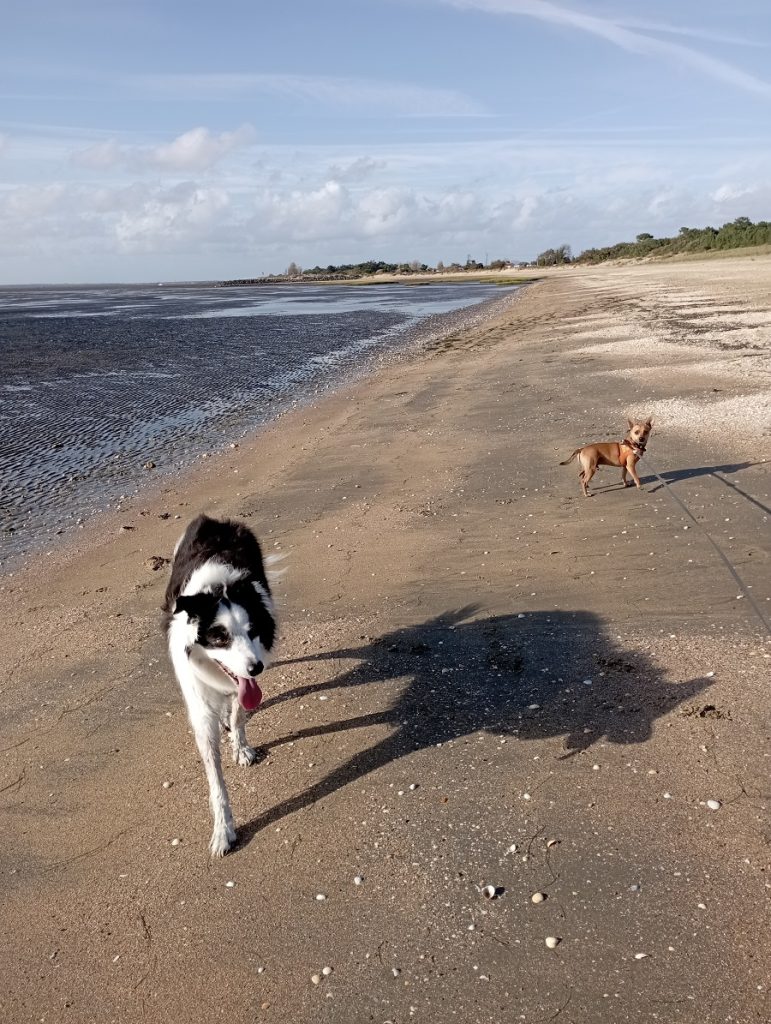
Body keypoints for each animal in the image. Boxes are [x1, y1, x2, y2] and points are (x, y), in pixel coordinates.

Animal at [162, 512, 276, 856]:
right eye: (220, 637)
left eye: (253, 630)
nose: (256, 667)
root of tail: (213, 520)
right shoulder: (199, 704)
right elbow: (215, 777)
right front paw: (223, 830)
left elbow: (239, 712)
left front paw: (241, 748)